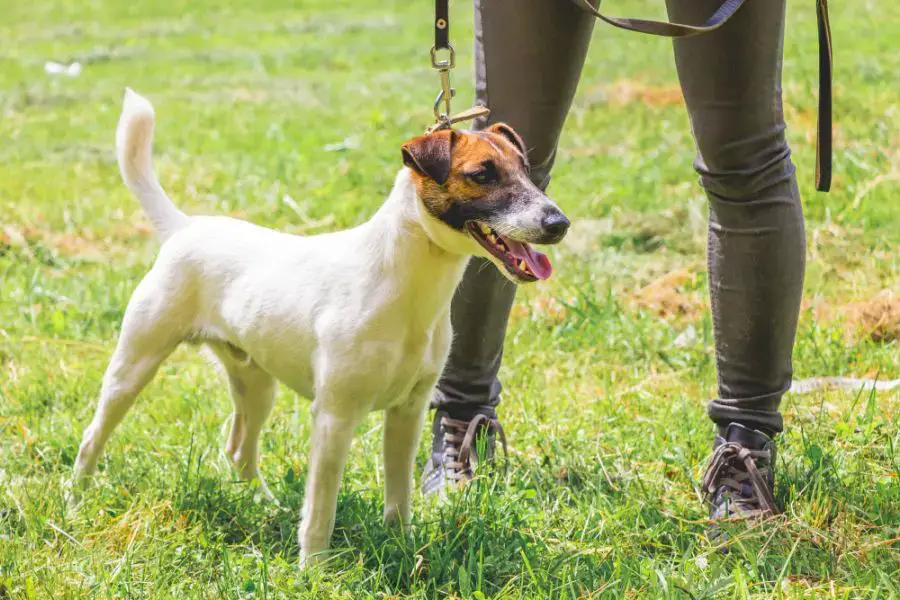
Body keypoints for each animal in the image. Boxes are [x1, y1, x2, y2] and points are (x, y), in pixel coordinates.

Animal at [77, 88, 568, 564]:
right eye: (483, 174)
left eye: (527, 171)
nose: (559, 223)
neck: (406, 286)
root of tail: (185, 227)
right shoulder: (334, 417)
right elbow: (321, 507)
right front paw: (312, 569)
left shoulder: (407, 413)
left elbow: (399, 494)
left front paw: (401, 543)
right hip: (134, 366)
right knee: (92, 436)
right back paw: (76, 497)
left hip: (257, 383)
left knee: (239, 450)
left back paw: (265, 505)